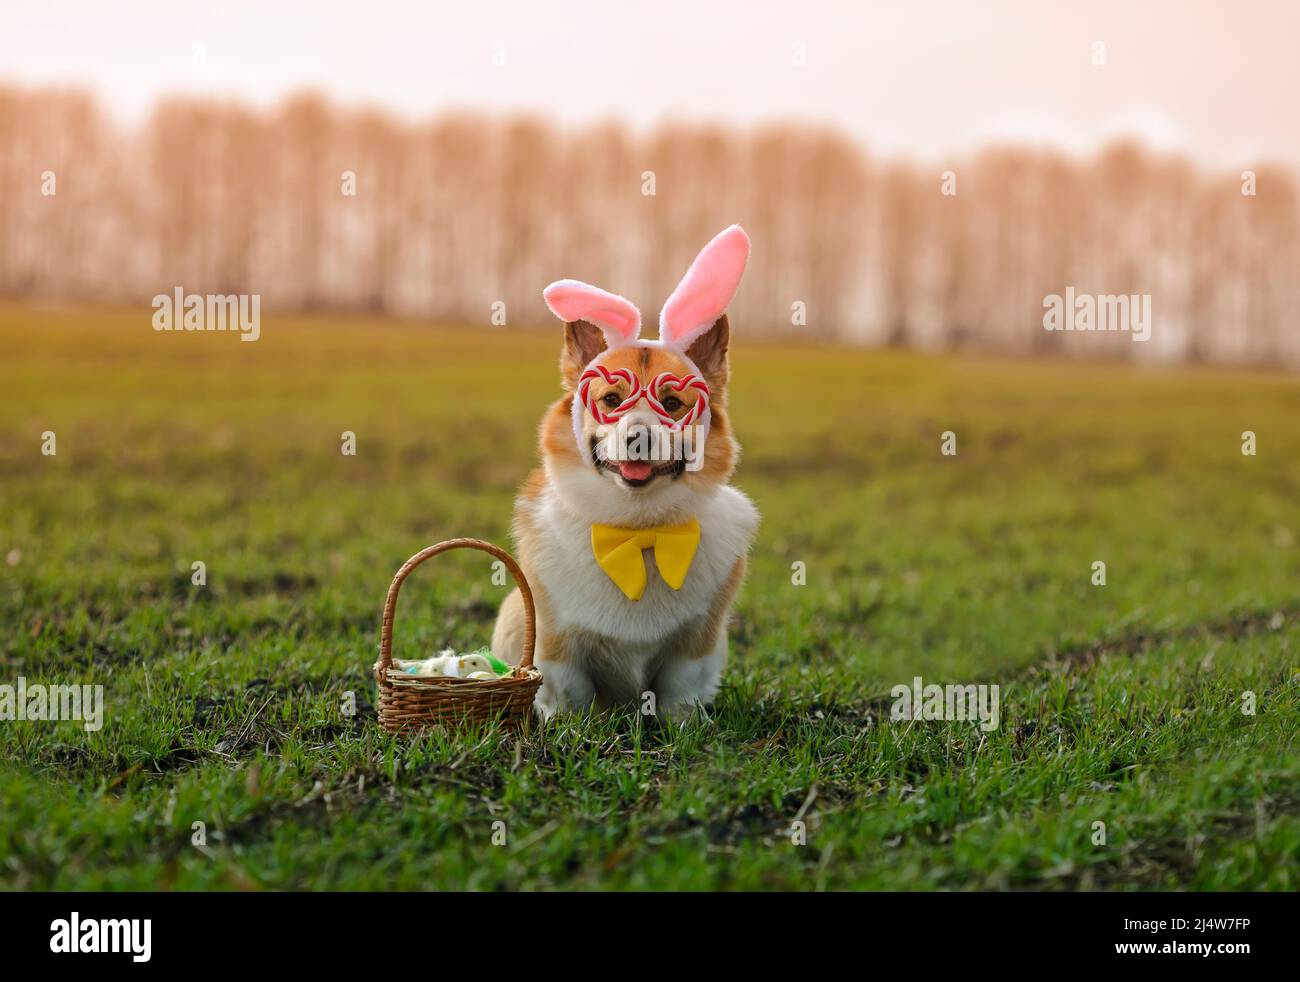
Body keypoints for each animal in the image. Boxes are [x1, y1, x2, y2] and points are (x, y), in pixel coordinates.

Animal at [493, 230, 759, 723]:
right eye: (611, 399)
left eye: (672, 404)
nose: (638, 437)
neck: (638, 530)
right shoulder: (559, 645)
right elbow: (570, 693)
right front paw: (571, 727)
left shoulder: (695, 645)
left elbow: (679, 692)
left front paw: (683, 727)